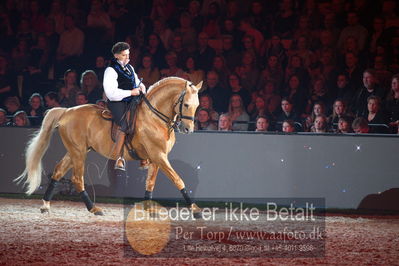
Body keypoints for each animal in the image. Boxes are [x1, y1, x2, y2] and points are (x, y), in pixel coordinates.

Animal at [15, 76, 203, 217]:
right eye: (186, 104)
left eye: (197, 106)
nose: (188, 129)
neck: (155, 117)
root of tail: (66, 111)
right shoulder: (159, 155)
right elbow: (178, 179)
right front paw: (195, 210)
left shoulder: (157, 158)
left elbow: (150, 183)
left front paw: (149, 209)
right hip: (78, 152)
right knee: (77, 179)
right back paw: (93, 208)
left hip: (75, 151)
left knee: (58, 171)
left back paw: (45, 205)